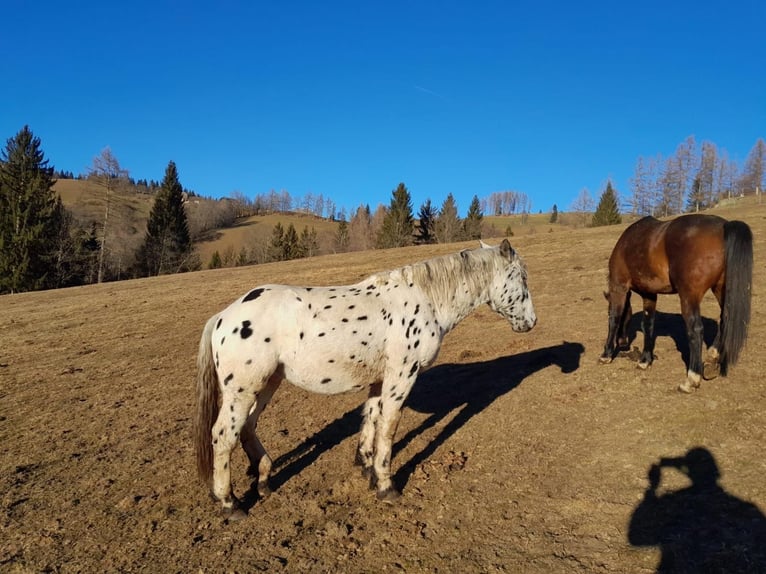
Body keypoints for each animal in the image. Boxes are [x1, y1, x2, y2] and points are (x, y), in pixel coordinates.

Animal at [195, 238, 536, 520]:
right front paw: (386, 485)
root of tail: (223, 317)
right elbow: (388, 428)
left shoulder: (379, 381)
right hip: (243, 390)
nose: (531, 322)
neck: (426, 300)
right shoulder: (402, 376)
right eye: (522, 278)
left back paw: (264, 478)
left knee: (247, 428)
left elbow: (371, 419)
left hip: (266, 384)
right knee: (223, 436)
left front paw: (366, 467)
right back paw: (230, 503)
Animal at [600, 214, 756, 394]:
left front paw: (606, 355)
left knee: (696, 329)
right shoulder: (649, 294)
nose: (623, 342)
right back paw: (712, 358)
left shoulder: (618, 287)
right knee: (725, 319)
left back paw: (692, 379)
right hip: (719, 289)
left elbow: (614, 318)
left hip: (689, 295)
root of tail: (724, 225)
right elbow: (648, 325)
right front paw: (645, 360)